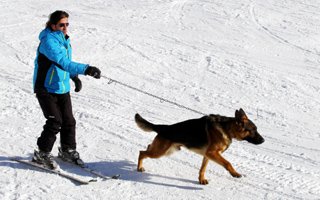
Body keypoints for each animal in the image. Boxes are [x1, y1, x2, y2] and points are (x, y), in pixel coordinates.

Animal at [134, 108, 264, 185]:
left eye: (256, 129)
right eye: (253, 130)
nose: (263, 140)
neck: (227, 129)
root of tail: (163, 127)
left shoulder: (208, 155)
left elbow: (203, 169)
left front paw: (201, 180)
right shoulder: (212, 153)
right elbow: (228, 163)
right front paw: (235, 173)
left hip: (167, 150)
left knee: (148, 146)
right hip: (160, 152)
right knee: (141, 152)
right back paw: (139, 167)